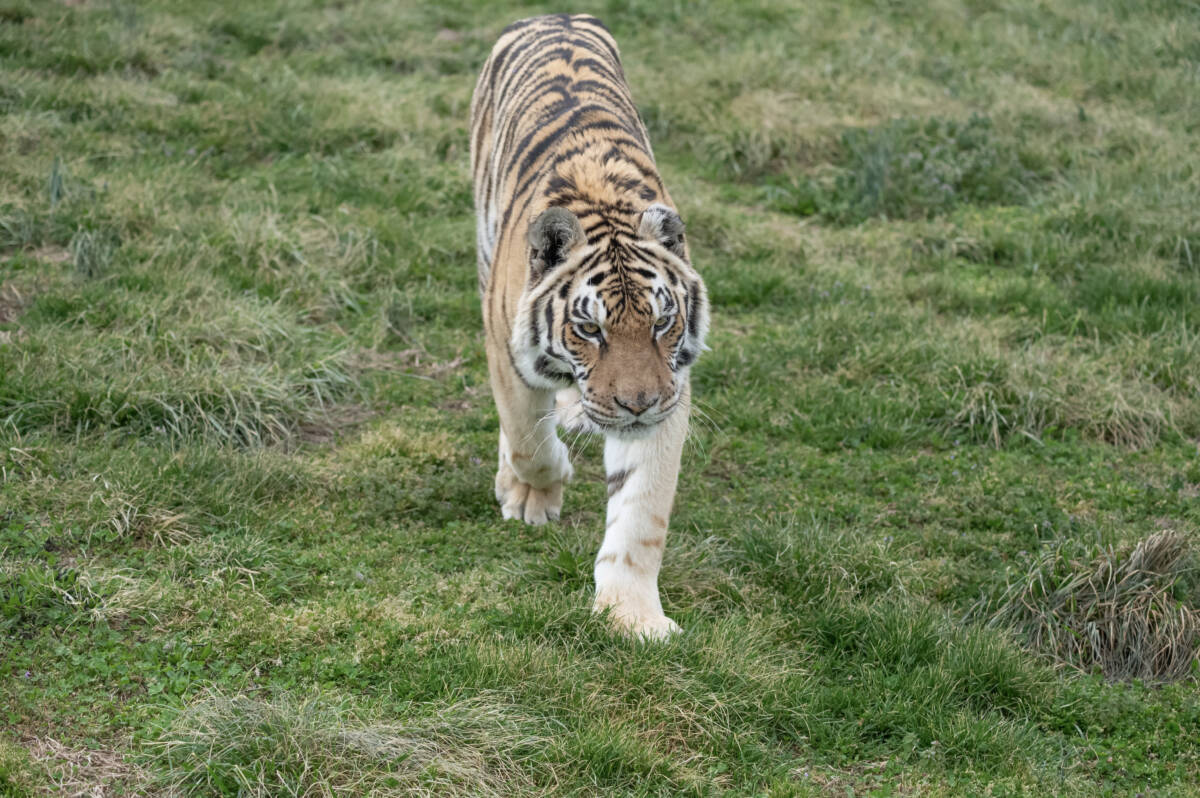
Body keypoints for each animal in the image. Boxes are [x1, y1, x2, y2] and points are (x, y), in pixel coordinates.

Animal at [470, 13, 709, 639]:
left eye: (662, 323)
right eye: (591, 330)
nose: (636, 405)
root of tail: (554, 16)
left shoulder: (671, 388)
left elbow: (642, 512)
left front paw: (633, 617)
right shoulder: (507, 354)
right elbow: (528, 440)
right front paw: (534, 493)